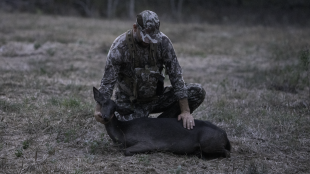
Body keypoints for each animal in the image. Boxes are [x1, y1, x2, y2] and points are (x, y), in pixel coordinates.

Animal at [93, 87, 231, 158]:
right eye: (102, 104)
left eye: (114, 108)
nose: (105, 117)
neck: (123, 132)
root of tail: (225, 135)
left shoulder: (148, 142)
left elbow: (126, 151)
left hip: (209, 142)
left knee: (227, 153)